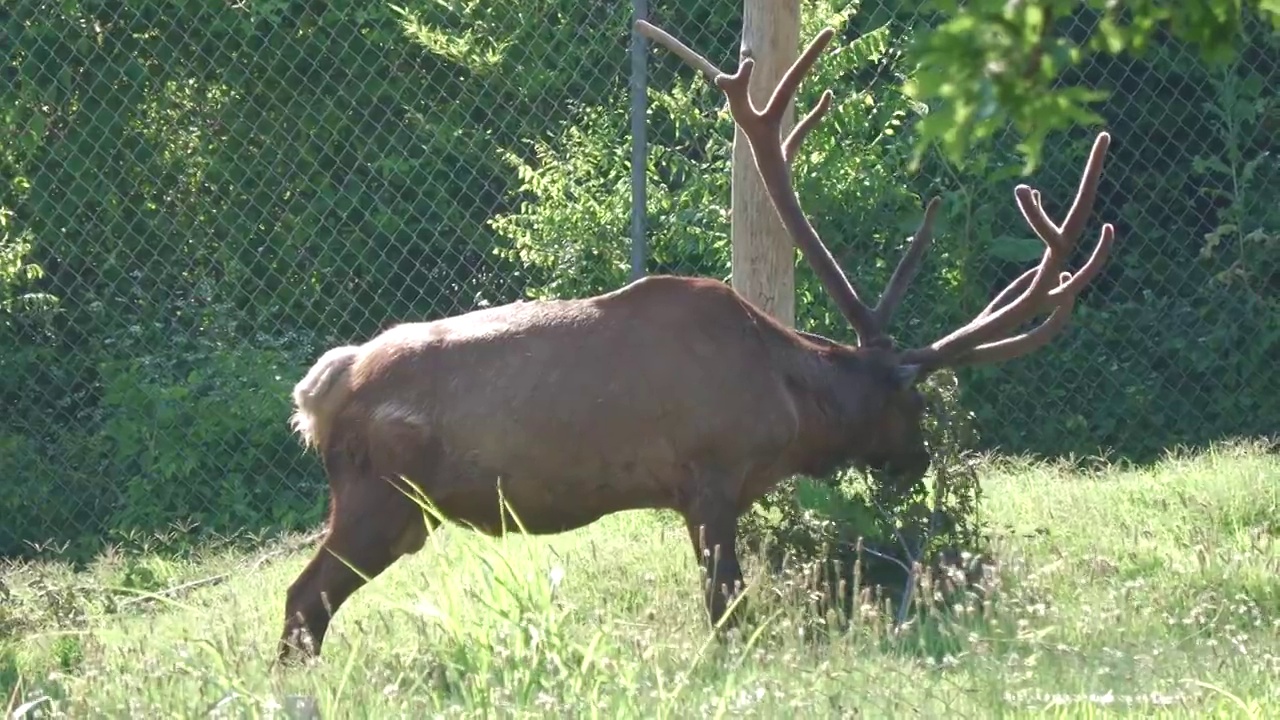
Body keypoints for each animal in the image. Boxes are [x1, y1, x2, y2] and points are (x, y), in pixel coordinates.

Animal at [275, 19, 1116, 661]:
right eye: (912, 406)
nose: (917, 462)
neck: (788, 405)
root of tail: (321, 391)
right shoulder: (709, 475)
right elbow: (727, 608)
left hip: (394, 509)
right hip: (380, 496)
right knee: (303, 598)